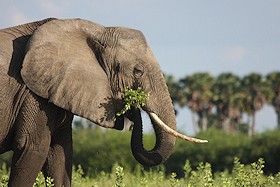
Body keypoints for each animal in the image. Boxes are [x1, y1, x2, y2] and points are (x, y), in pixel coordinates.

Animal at [0, 18, 206, 186]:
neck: (97, 30)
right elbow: (33, 147)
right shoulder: (32, 93)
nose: (132, 105)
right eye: (138, 71)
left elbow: (58, 152)